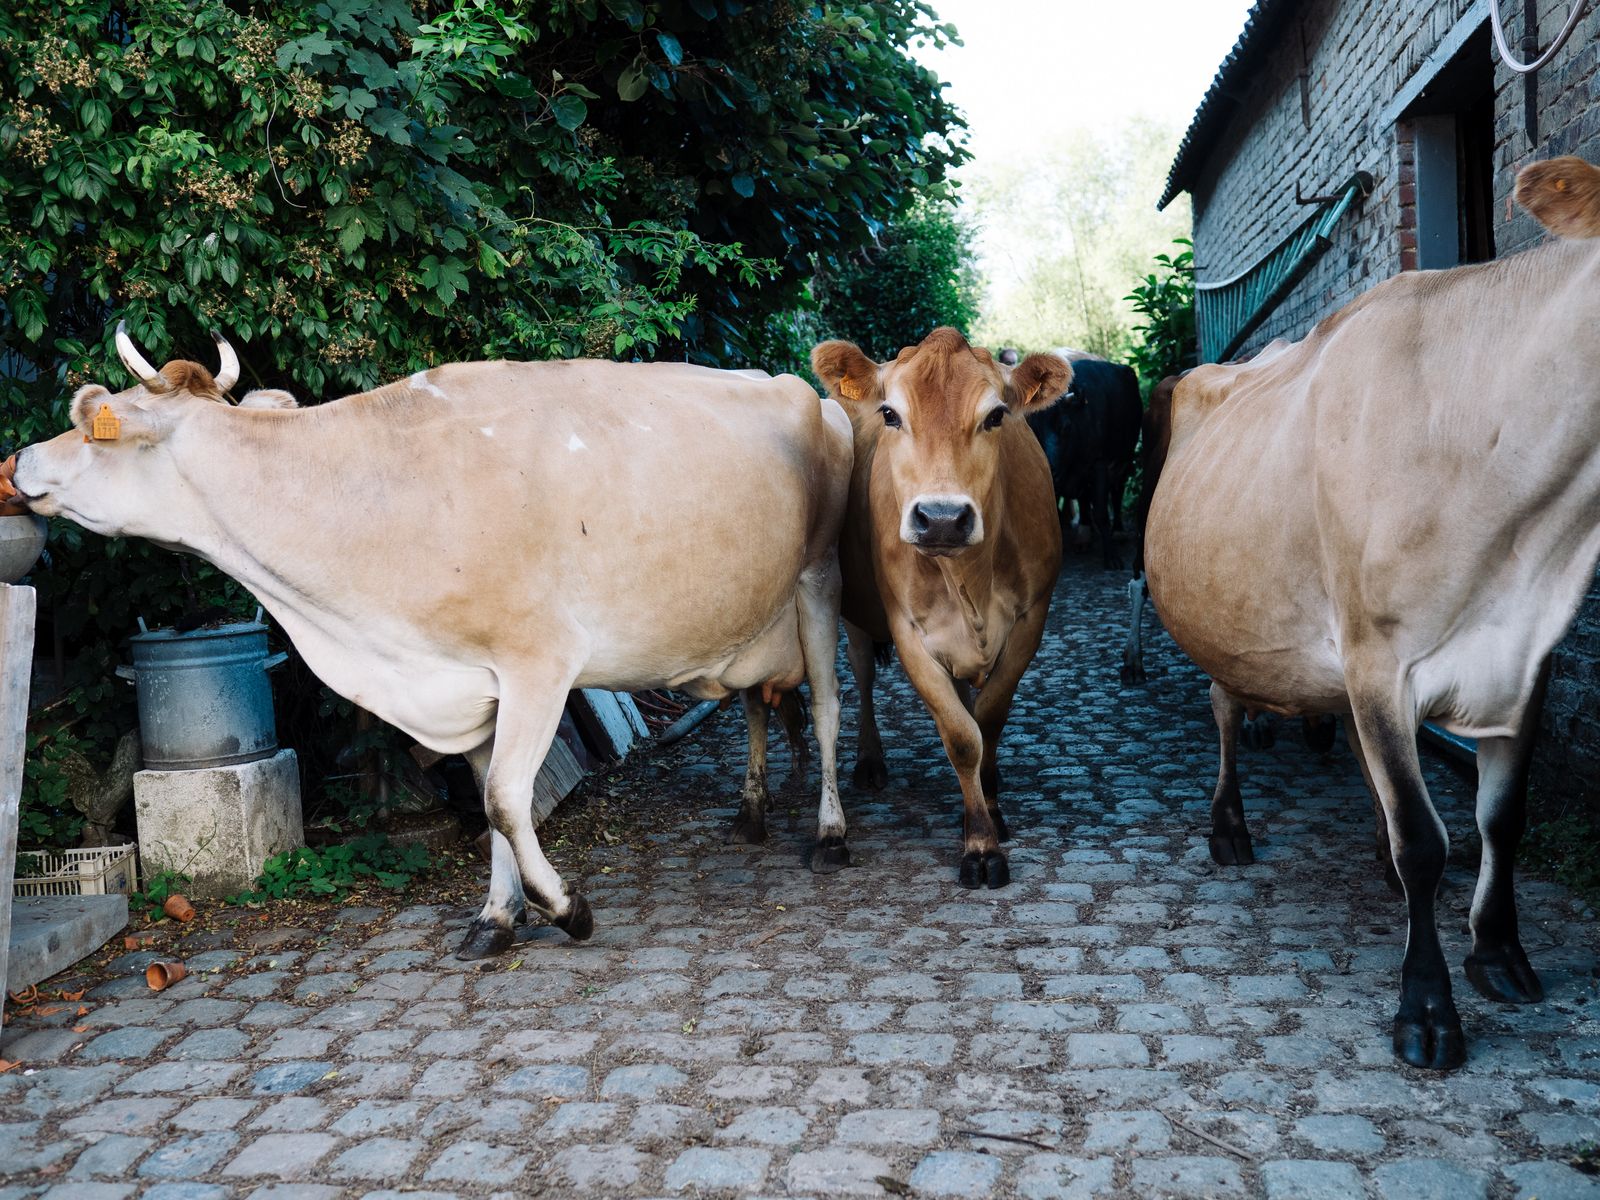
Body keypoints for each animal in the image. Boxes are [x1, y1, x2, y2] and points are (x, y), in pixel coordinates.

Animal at [3, 326, 851, 960]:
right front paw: (497, 919)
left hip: (818, 583)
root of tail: (799, 388)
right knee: (757, 704)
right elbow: (489, 800)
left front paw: (565, 909)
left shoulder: (539, 662)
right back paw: (752, 811)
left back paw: (831, 833)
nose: (16, 461)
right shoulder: (466, 679)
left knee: (829, 711)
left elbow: (505, 797)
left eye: (93, 418)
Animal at [812, 329, 1075, 896]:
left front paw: (990, 809)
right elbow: (961, 736)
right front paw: (980, 846)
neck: (971, 579)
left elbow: (988, 719)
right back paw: (870, 761)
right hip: (854, 614)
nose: (941, 518)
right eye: (890, 414)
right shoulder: (909, 633)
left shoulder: (1031, 619)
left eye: (997, 415)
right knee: (863, 672)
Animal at [1024, 356, 1139, 569]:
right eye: (1034, 430)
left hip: (1125, 459)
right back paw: (1084, 534)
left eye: (1065, 427)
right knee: (1085, 498)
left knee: (1117, 491)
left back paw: (1118, 531)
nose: (1050, 469)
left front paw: (1112, 556)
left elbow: (1101, 511)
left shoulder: (1099, 463)